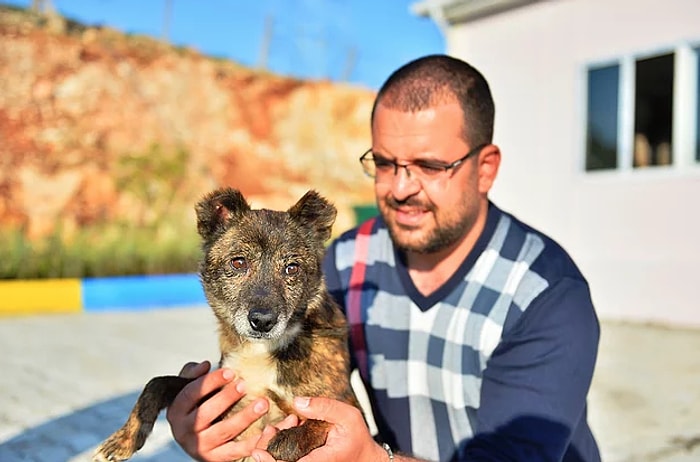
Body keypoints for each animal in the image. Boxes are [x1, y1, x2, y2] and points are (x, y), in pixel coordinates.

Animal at [93, 188, 360, 462]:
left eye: (292, 268)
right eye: (238, 262)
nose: (262, 321)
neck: (260, 350)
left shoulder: (345, 405)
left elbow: (318, 423)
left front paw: (286, 441)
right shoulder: (221, 395)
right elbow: (157, 383)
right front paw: (122, 439)